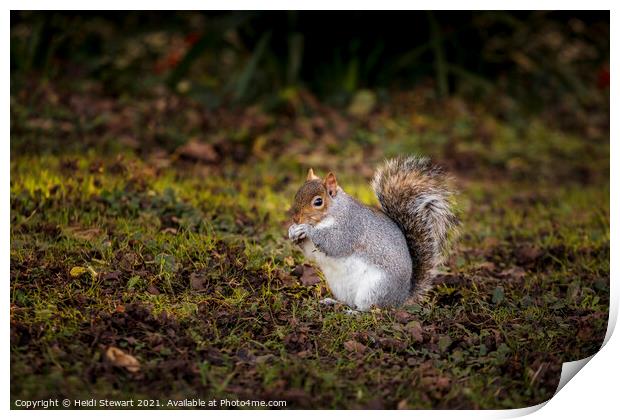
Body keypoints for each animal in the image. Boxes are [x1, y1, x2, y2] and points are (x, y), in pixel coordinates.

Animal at [288, 156, 458, 310]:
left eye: (318, 202)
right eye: (296, 194)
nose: (295, 218)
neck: (331, 214)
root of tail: (401, 298)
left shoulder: (351, 226)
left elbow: (335, 243)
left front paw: (306, 229)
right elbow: (311, 253)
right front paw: (292, 231)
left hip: (375, 289)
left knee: (370, 308)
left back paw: (354, 313)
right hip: (342, 288)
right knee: (350, 302)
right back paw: (333, 302)